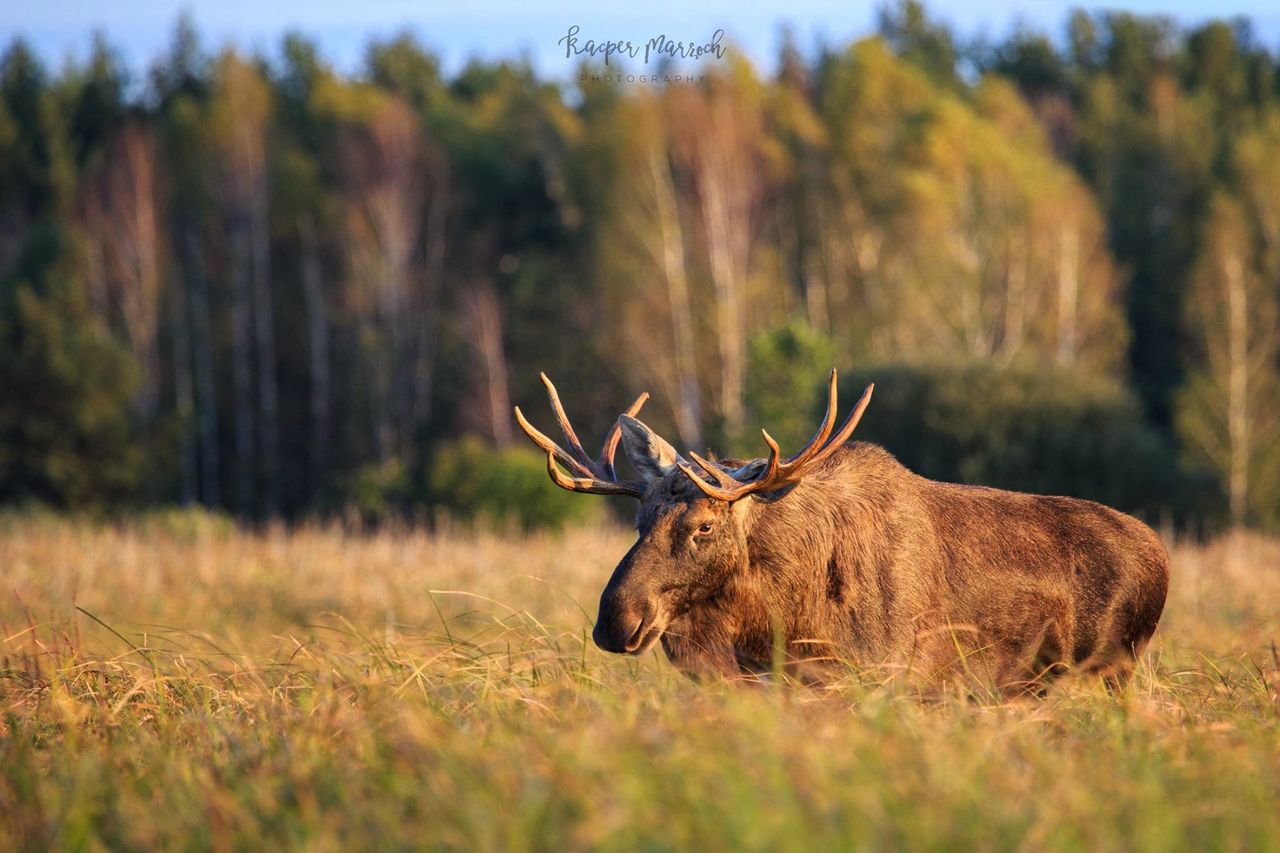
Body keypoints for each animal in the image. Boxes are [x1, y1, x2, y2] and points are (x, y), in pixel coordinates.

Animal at [512, 368, 1172, 686]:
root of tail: (1162, 556)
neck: (782, 618)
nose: (615, 621)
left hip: (1115, 668)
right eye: (638, 519)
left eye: (703, 527)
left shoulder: (893, 675)